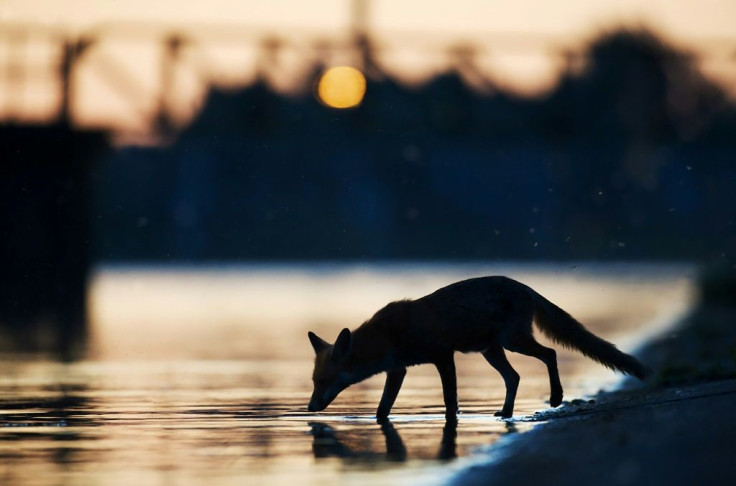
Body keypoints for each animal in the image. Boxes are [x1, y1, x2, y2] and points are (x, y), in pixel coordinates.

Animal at [308, 276, 652, 420]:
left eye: (323, 382)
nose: (309, 408)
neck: (386, 336)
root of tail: (525, 286)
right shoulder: (399, 370)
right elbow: (383, 407)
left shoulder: (442, 356)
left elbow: (450, 399)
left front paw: (452, 421)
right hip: (492, 352)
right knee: (514, 378)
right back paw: (507, 412)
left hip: (513, 342)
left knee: (550, 355)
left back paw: (555, 397)